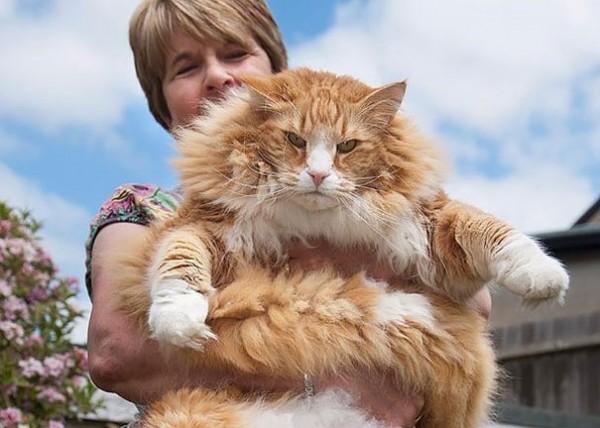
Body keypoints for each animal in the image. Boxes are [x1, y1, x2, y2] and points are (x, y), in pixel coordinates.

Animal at [116, 68, 568, 426]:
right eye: (295, 139)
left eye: (347, 146)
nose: (317, 175)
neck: (317, 224)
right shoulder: (206, 226)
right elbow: (178, 260)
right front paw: (178, 318)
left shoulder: (429, 233)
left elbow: (489, 230)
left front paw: (543, 274)